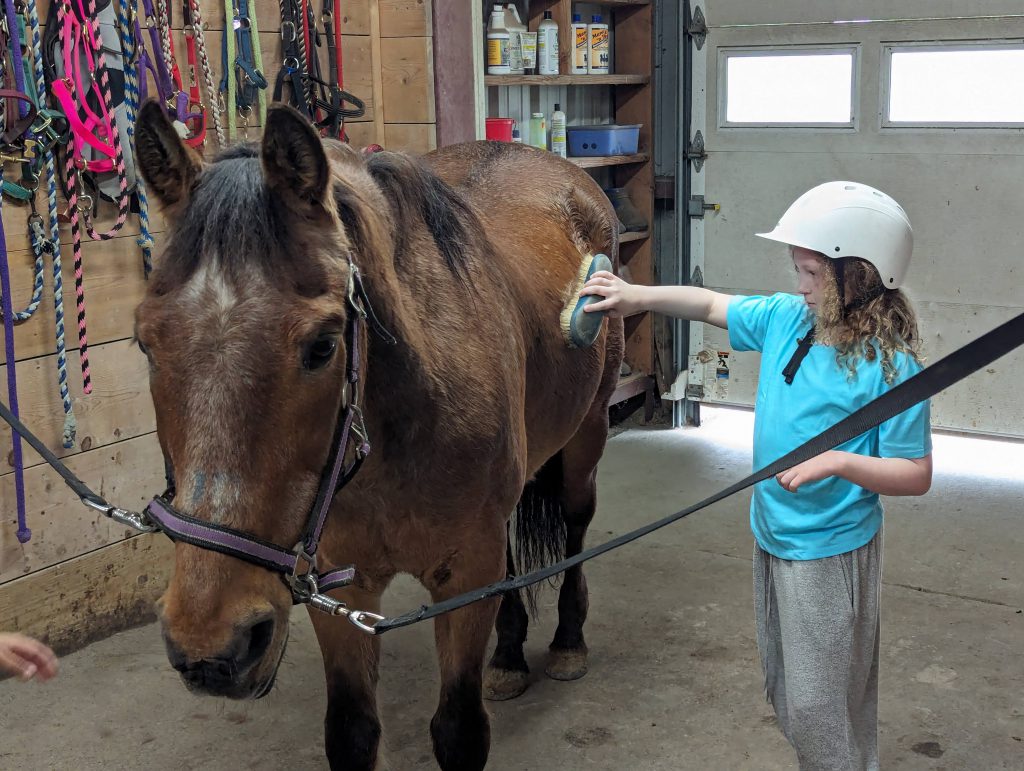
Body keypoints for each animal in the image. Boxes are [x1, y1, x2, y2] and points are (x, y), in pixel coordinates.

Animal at [134, 102, 622, 769]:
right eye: (145, 343)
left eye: (323, 345)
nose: (212, 642)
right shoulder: (340, 587)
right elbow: (352, 731)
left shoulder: (466, 578)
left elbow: (460, 729)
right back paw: (507, 656)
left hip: (586, 440)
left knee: (575, 527)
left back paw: (568, 642)